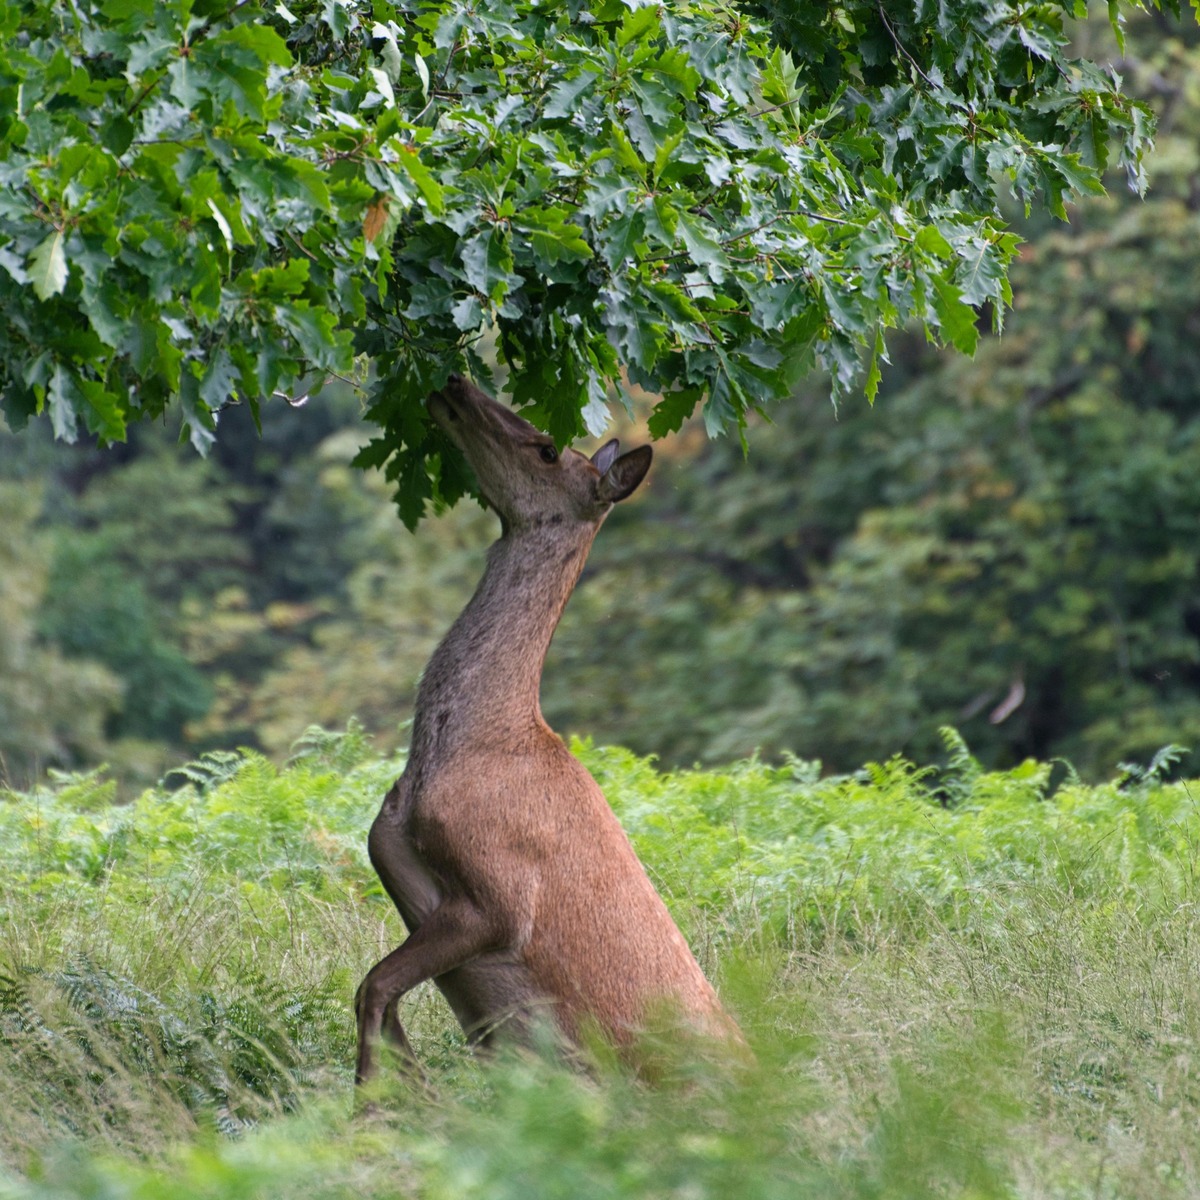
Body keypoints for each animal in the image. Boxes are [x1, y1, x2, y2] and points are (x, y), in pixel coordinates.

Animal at [354, 373, 740, 1083]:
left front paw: (372, 1098)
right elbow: (380, 1000)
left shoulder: (499, 897)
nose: (455, 382)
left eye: (546, 448)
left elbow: (374, 988)